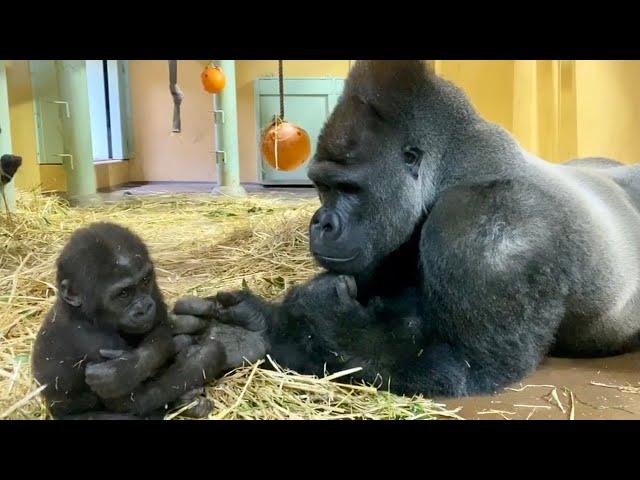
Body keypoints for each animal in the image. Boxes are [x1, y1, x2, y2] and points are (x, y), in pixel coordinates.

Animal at [33, 223, 228, 418]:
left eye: (144, 281)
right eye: (123, 294)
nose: (144, 308)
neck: (81, 314)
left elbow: (160, 326)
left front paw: (128, 368)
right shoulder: (94, 343)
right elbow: (133, 402)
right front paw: (208, 357)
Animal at [174, 60, 640, 398]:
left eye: (348, 188)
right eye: (322, 186)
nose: (321, 222)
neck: (450, 170)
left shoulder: (490, 223)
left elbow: (461, 364)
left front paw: (294, 322)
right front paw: (251, 328)